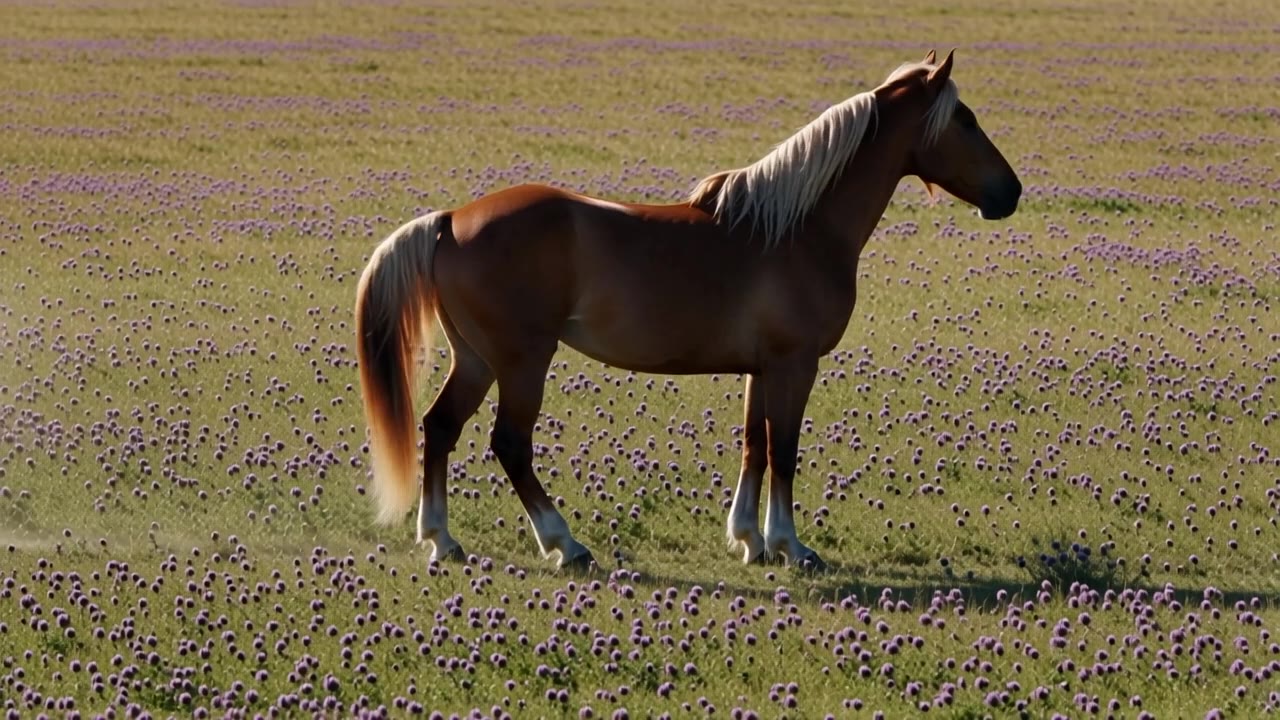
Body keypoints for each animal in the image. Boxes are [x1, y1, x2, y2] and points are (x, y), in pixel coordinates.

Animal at [354, 50, 1021, 572]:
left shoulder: (763, 369)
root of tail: (451, 221)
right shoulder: (795, 365)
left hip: (476, 359)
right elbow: (785, 450)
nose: (1010, 192)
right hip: (521, 362)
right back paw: (565, 544)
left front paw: (750, 540)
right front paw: (791, 545)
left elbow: (755, 446)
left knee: (440, 427)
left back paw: (442, 540)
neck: (798, 228)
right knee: (510, 443)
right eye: (964, 119)